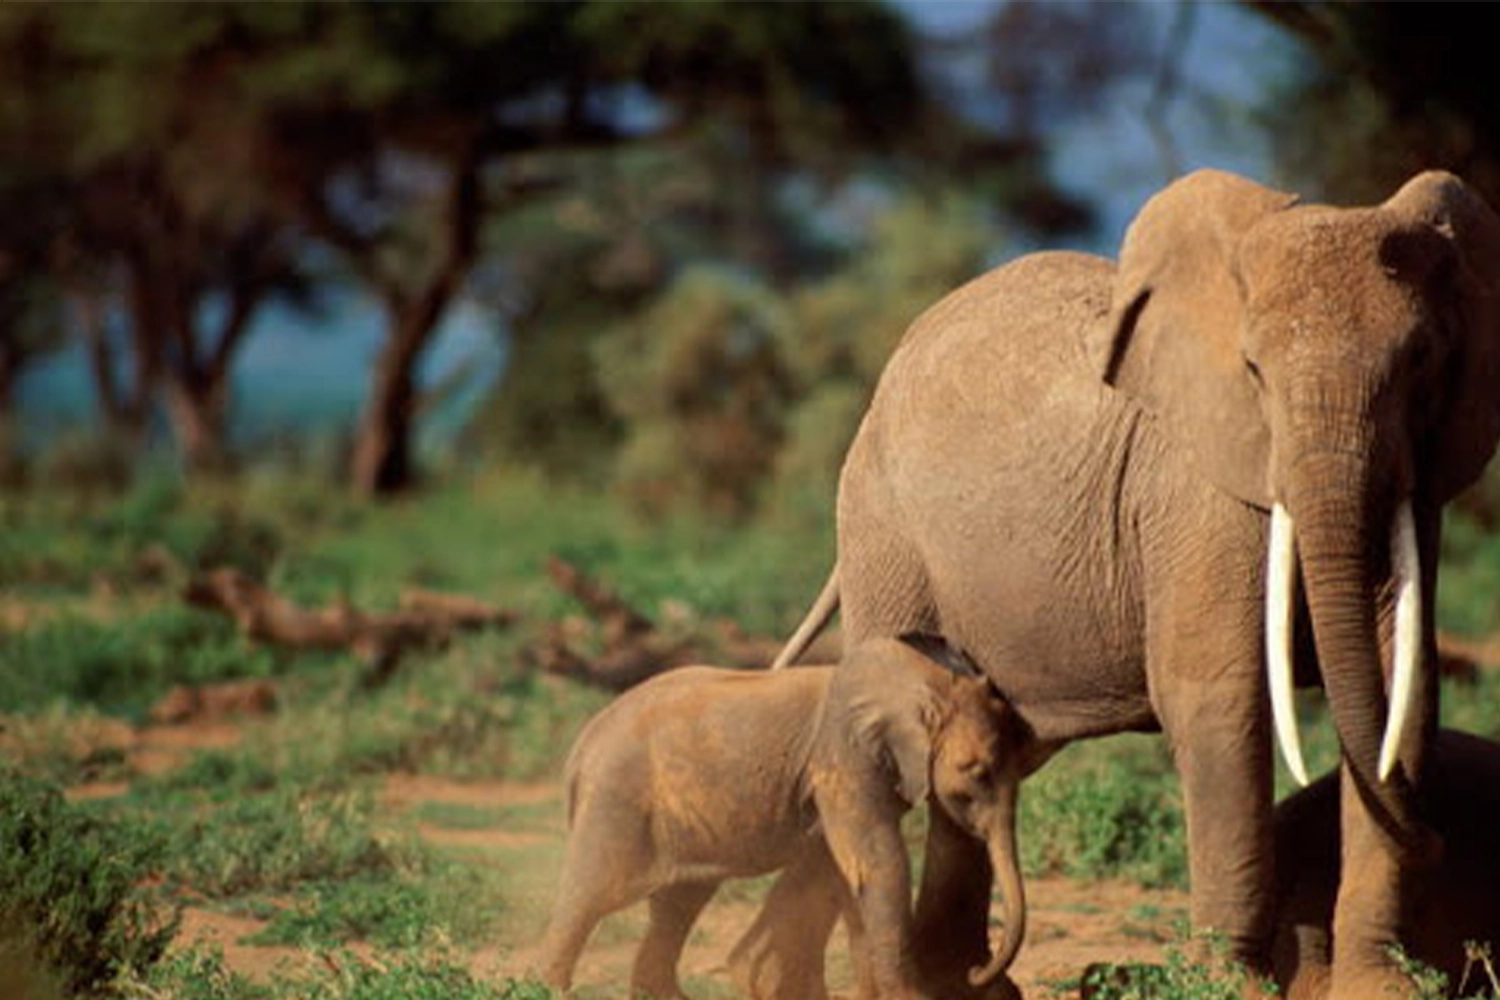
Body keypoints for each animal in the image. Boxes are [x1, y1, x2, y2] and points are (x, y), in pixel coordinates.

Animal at [543, 641, 1044, 1000]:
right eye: (977, 773)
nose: (976, 971)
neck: (925, 679)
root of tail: (579, 748)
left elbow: (848, 872)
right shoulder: (844, 757)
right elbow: (879, 864)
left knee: (678, 904)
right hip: (615, 804)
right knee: (590, 896)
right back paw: (549, 988)